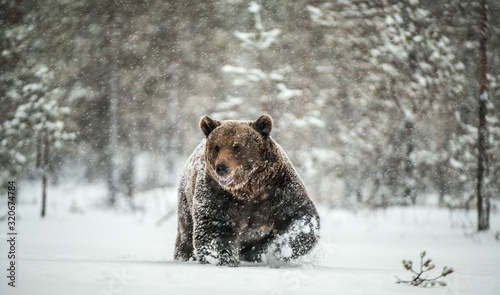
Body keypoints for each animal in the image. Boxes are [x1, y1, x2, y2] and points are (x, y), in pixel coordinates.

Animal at [174, 114, 318, 268]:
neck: (248, 189)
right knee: (186, 234)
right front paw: (222, 259)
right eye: (217, 146)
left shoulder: (278, 189)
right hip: (186, 200)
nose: (221, 167)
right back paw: (184, 256)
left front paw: (284, 248)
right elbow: (215, 227)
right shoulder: (217, 194)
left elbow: (299, 214)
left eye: (237, 146)